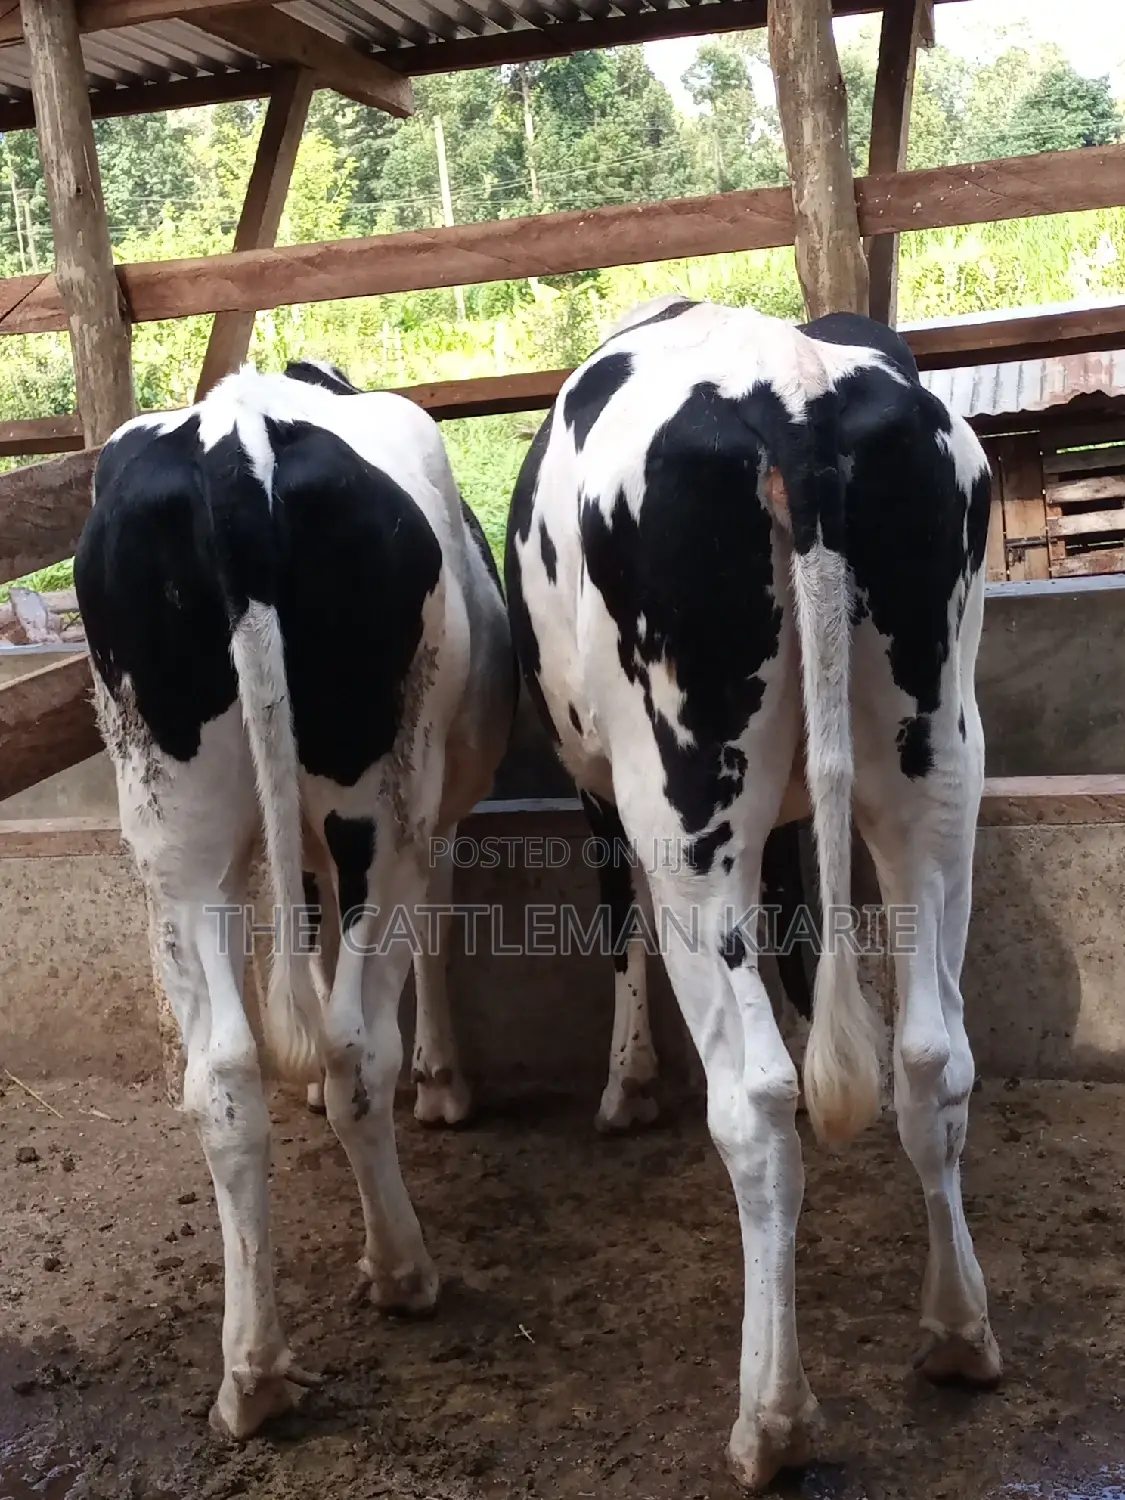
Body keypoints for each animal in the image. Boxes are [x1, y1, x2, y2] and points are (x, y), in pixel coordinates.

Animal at [74, 359, 516, 1441]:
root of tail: (236, 439)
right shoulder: (437, 814)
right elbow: (425, 938)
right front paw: (445, 1083)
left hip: (171, 829)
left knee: (225, 1075)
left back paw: (253, 1371)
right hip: (380, 806)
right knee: (358, 1039)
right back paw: (401, 1270)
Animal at [504, 296, 1000, 1490]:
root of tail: (793, 394)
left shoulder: (602, 793)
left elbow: (620, 924)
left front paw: (626, 1084)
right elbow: (798, 927)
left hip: (683, 794)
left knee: (759, 1104)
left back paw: (769, 1419)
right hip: (938, 760)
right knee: (932, 1052)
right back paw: (958, 1329)